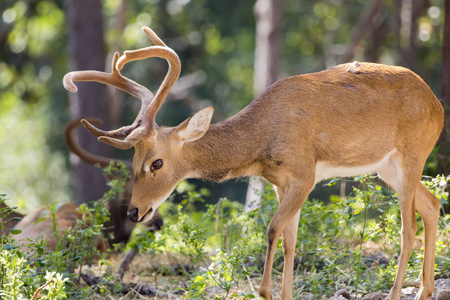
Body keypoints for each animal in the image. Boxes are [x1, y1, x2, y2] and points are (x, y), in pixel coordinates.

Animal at [62, 26, 442, 300]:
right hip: (386, 167)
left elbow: (272, 230)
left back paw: (398, 293)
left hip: (412, 153)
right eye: (133, 161)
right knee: (432, 203)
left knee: (408, 227)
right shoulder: (281, 182)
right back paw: (424, 290)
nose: (133, 211)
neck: (262, 142)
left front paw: (265, 290)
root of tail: (437, 106)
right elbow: (290, 240)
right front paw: (285, 293)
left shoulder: (304, 174)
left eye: (156, 163)